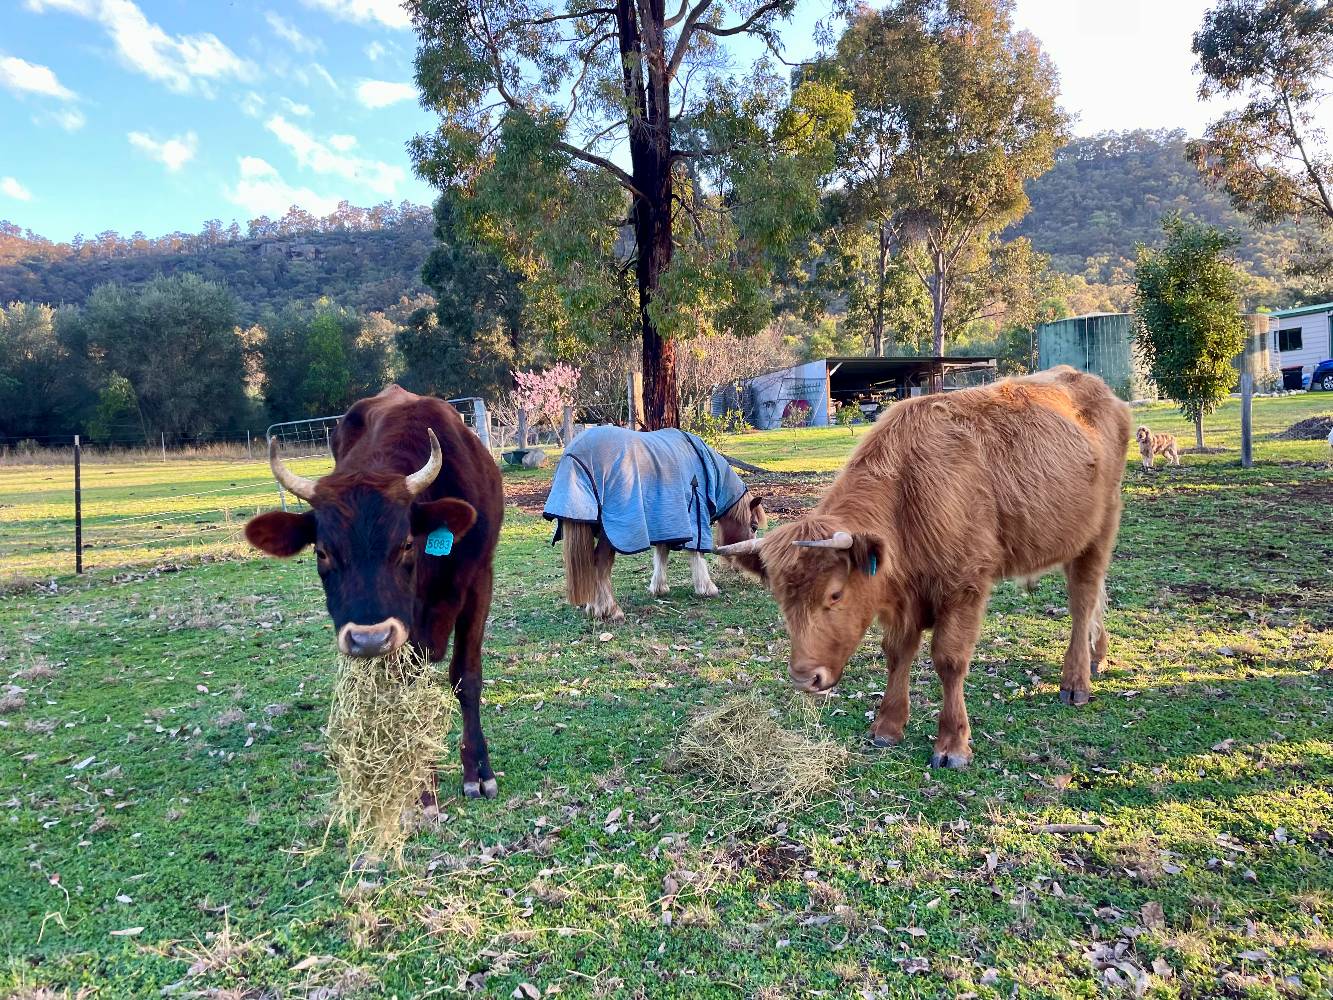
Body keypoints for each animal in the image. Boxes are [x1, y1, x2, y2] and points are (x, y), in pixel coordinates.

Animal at [245, 386, 503, 805]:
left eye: (406, 544)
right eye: (322, 552)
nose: (368, 639)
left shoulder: (479, 580)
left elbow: (466, 677)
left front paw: (478, 771)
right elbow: (408, 689)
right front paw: (421, 784)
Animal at [543, 426, 773, 624]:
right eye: (754, 526)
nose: (765, 573)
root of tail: (573, 459)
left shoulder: (668, 520)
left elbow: (662, 553)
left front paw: (659, 587)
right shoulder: (695, 519)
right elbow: (696, 554)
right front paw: (707, 588)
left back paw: (595, 608)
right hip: (612, 533)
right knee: (600, 564)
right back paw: (609, 610)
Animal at [725, 365, 1130, 768]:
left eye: (835, 595)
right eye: (781, 599)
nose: (803, 678)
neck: (909, 493)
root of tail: (1096, 387)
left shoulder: (964, 587)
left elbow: (948, 660)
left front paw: (952, 743)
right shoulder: (905, 596)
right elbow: (897, 653)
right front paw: (887, 726)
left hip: (1099, 530)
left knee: (1082, 600)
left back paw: (1076, 682)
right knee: (1095, 596)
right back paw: (1098, 654)